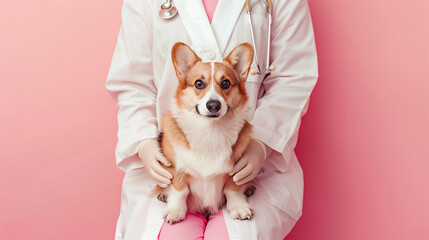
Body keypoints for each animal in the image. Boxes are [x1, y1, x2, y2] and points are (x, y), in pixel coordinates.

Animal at [153, 42, 254, 223]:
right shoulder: (176, 168)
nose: (213, 105)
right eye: (199, 83)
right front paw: (175, 210)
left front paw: (238, 207)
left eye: (226, 83)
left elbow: (232, 189)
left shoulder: (238, 169)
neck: (210, 130)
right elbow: (179, 190)